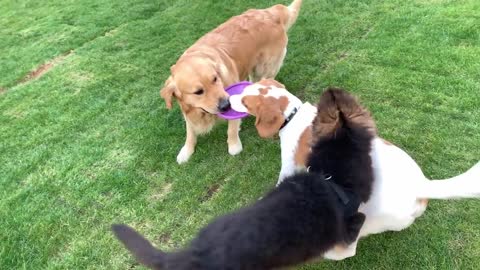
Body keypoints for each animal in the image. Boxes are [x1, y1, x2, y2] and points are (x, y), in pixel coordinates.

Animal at [161, 0, 304, 163]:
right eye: (198, 92)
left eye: (215, 79)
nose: (226, 105)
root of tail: (270, 12)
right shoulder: (188, 109)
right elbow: (190, 131)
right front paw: (186, 150)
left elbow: (231, 129)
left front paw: (234, 145)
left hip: (266, 67)